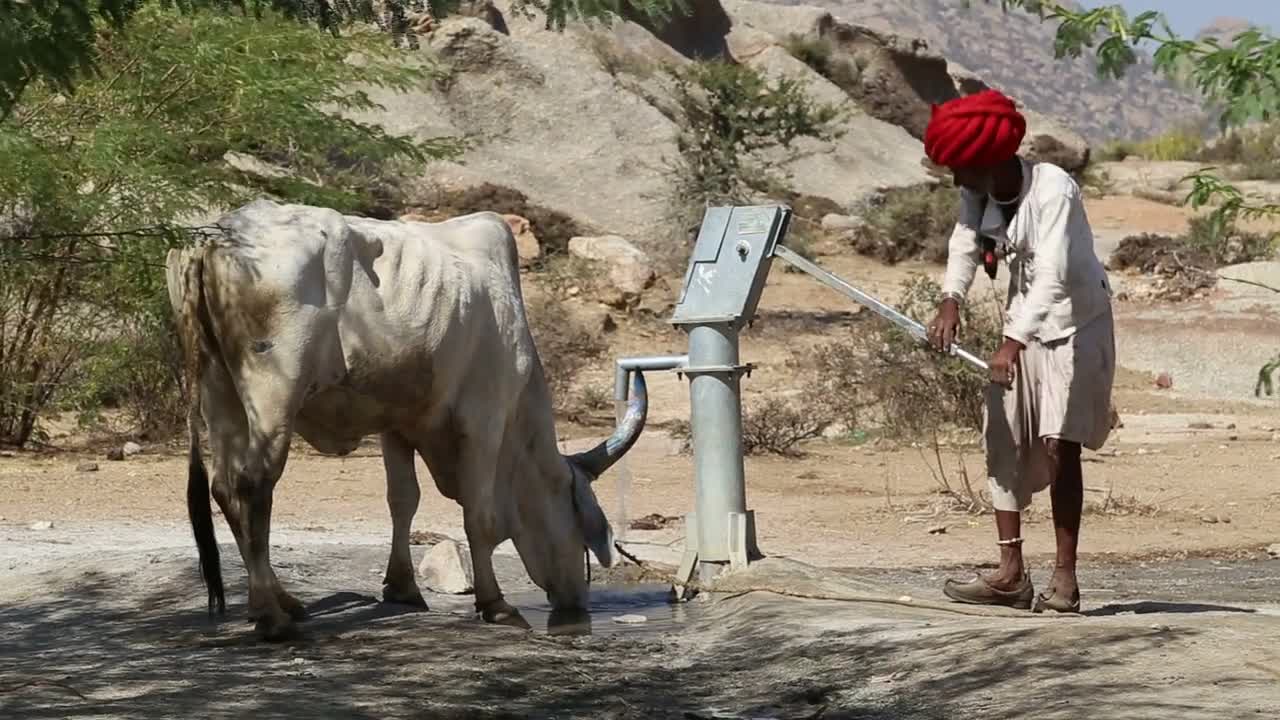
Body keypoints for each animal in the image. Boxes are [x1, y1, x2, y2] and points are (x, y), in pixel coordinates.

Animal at [167, 197, 650, 638]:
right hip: (272, 394)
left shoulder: (396, 424)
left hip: (219, 390)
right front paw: (495, 604)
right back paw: (271, 614)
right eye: (581, 534)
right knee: (254, 486)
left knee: (225, 487)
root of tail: (216, 235)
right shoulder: (484, 421)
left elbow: (403, 500)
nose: (576, 603)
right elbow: (480, 517)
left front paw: (402, 588)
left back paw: (280, 601)